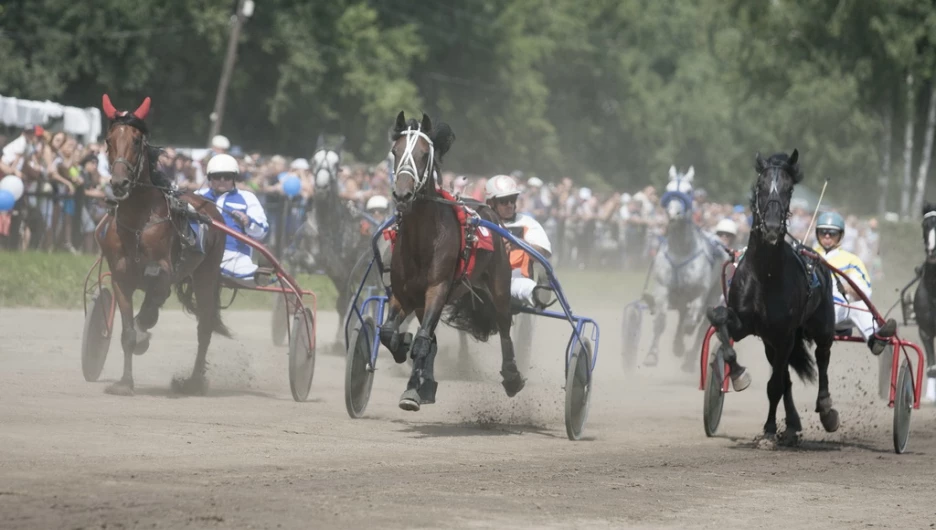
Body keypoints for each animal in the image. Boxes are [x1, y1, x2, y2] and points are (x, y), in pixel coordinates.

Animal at [380, 110, 528, 408]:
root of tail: (489, 210)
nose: (402, 195)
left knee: (504, 324)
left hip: (499, 284)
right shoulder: (404, 293)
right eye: (395, 151)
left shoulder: (437, 289)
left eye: (424, 154)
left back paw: (511, 377)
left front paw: (413, 387)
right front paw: (404, 352)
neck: (422, 240)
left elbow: (422, 339)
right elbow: (390, 333)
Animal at [704, 150, 836, 446]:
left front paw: (768, 430)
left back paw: (825, 409)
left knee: (822, 357)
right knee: (785, 373)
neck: (765, 274)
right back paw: (791, 424)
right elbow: (719, 318)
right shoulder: (746, 324)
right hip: (769, 342)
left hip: (821, 325)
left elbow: (775, 385)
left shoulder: (785, 334)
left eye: (789, 189)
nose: (773, 227)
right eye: (760, 186)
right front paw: (738, 375)